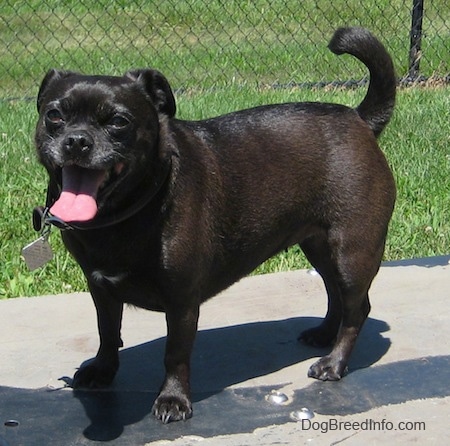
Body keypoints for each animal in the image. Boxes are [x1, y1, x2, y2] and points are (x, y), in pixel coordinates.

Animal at [34, 26, 394, 424]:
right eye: (54, 115)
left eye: (118, 121)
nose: (77, 140)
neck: (128, 209)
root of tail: (359, 119)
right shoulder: (101, 289)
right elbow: (107, 332)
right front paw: (103, 369)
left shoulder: (181, 302)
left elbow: (175, 354)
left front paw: (173, 399)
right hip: (318, 245)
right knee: (334, 292)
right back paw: (324, 335)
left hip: (352, 251)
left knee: (356, 309)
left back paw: (334, 362)